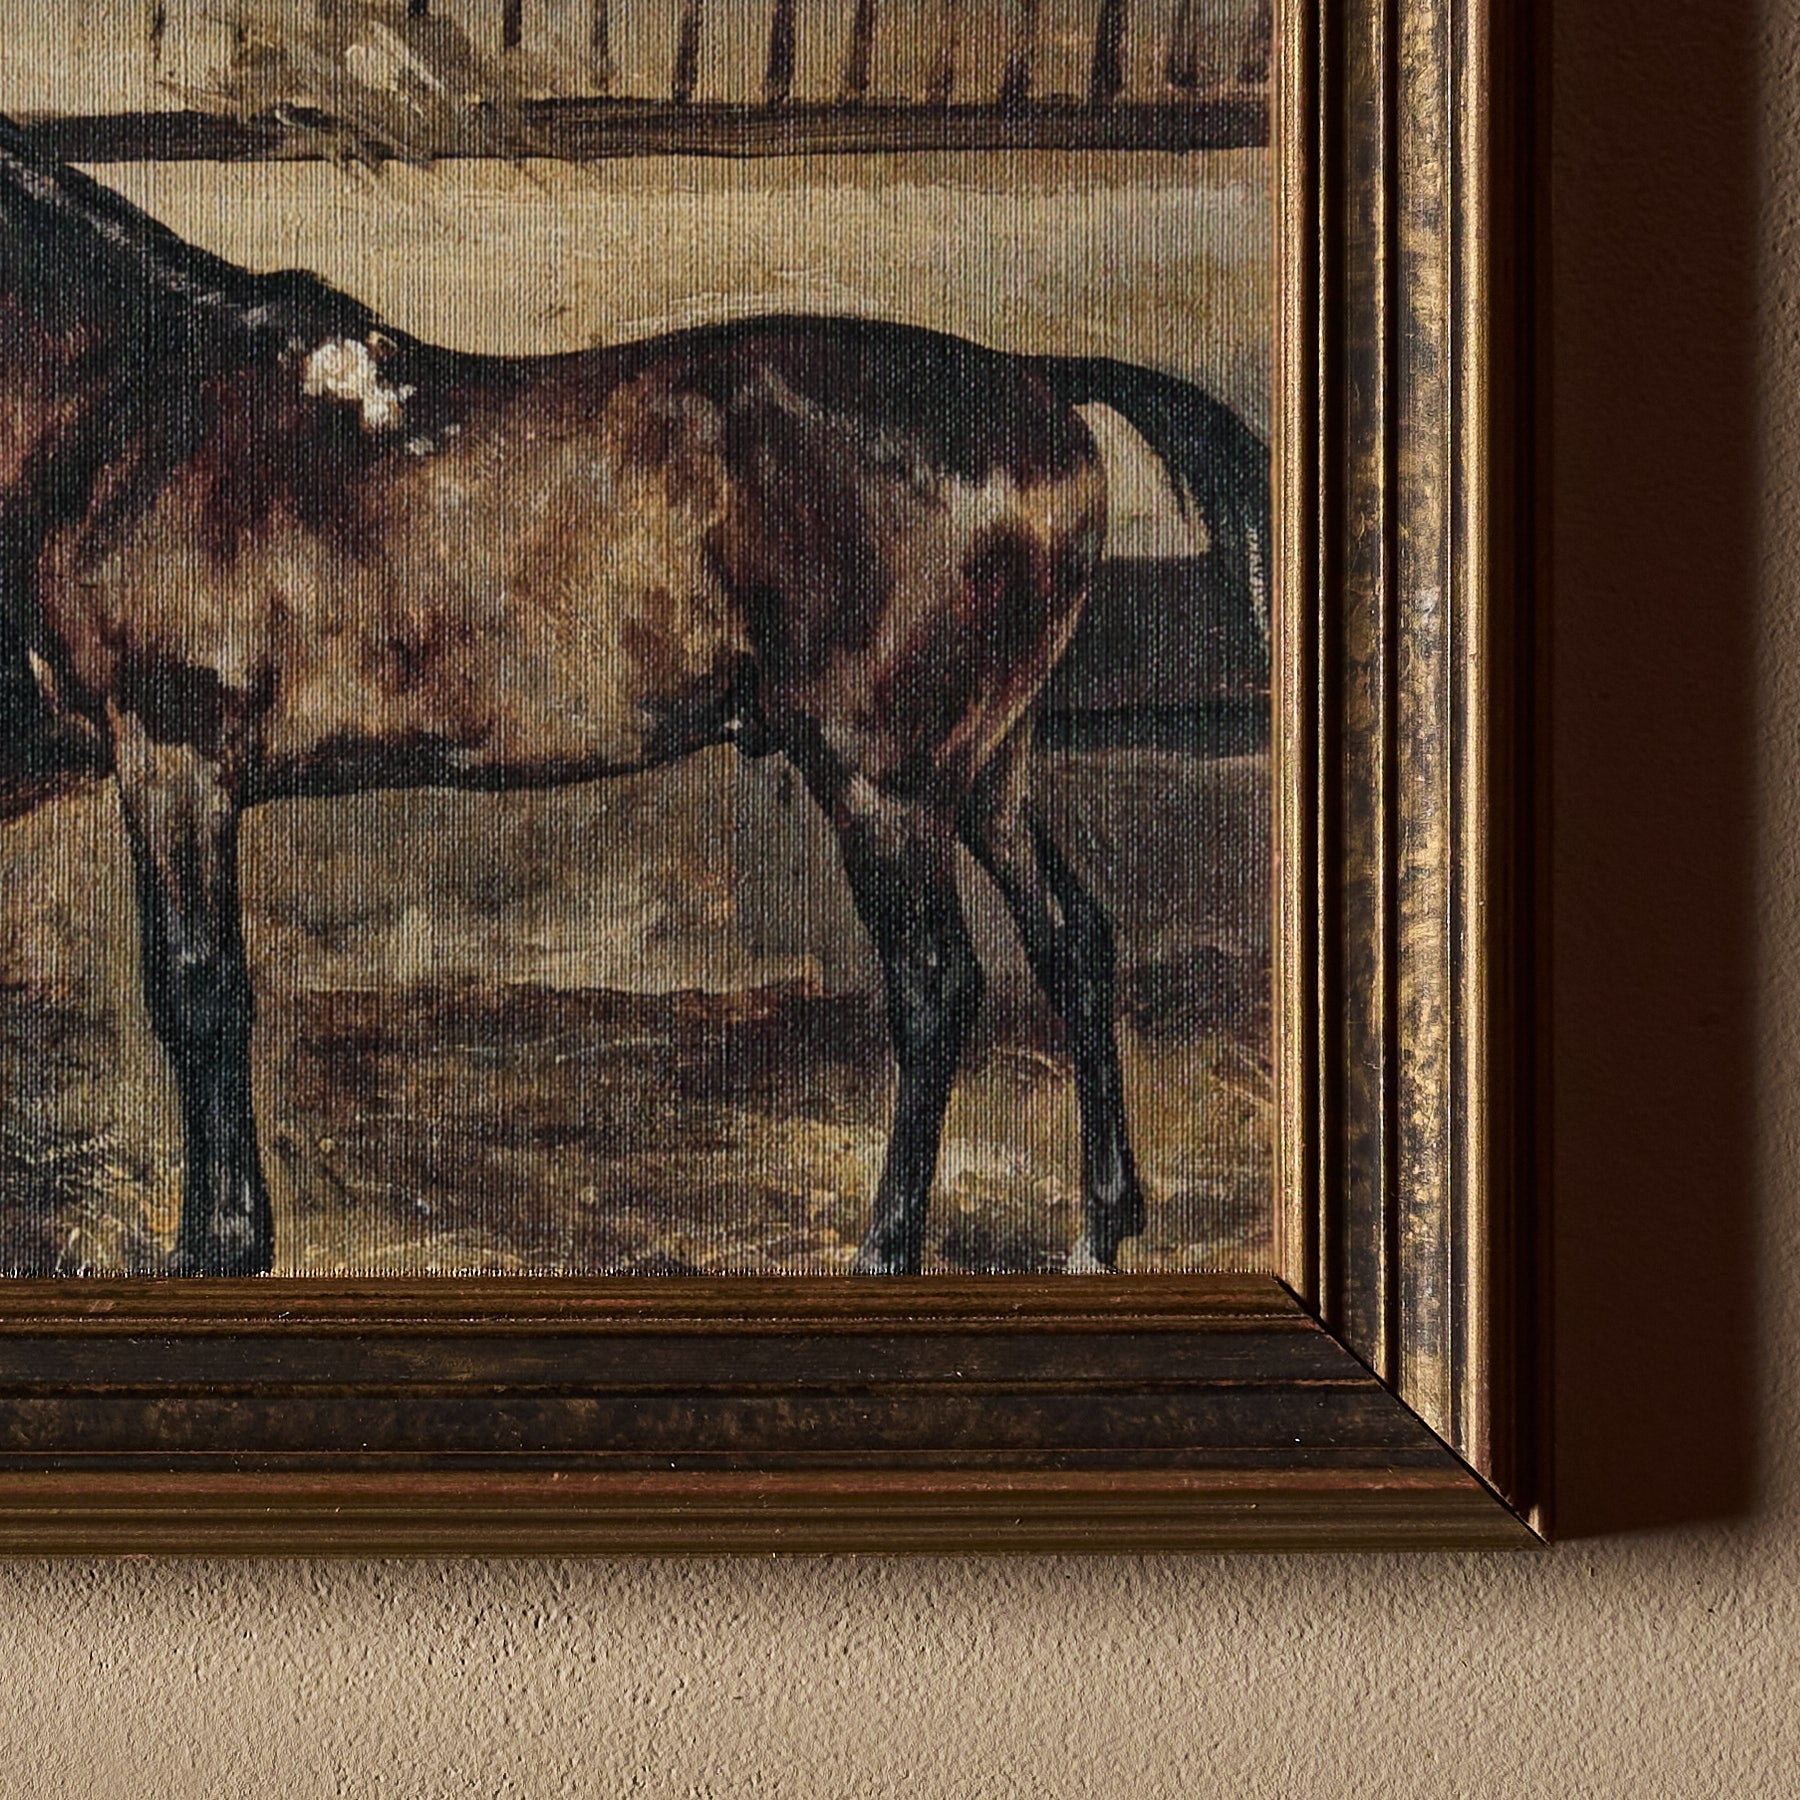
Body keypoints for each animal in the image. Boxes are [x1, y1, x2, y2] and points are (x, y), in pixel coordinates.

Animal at [0, 116, 1270, 1277]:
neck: (141, 405)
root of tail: (1037, 385)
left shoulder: (173, 755)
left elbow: (198, 988)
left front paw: (216, 1242)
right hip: (987, 768)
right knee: (1072, 942)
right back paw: (1102, 1227)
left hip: (884, 780)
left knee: (937, 987)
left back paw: (889, 1246)